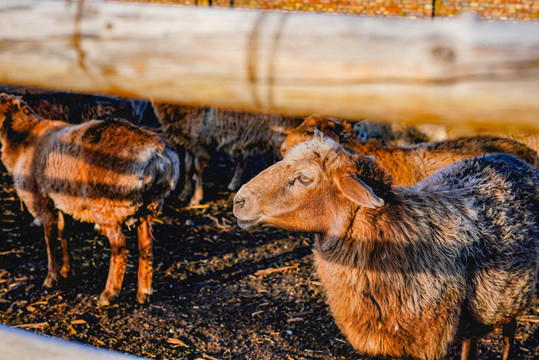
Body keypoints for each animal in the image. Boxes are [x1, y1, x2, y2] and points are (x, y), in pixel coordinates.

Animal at [0, 93, 181, 304]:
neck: (23, 139)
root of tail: (158, 157)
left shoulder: (40, 200)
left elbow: (49, 239)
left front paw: (51, 278)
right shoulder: (61, 200)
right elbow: (64, 232)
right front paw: (67, 270)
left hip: (108, 205)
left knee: (120, 250)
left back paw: (108, 294)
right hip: (148, 206)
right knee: (145, 245)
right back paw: (143, 292)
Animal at [152, 101, 304, 207]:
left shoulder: (201, 142)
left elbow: (198, 168)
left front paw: (196, 198)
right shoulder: (189, 142)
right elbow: (188, 167)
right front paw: (184, 193)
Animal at [235, 132, 539, 360]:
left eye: (304, 178)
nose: (238, 201)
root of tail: (511, 158)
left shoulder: (424, 340)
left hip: (512, 296)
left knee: (509, 332)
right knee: (472, 339)